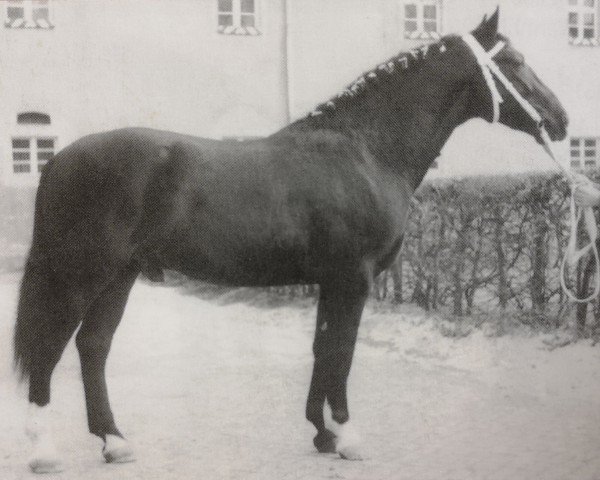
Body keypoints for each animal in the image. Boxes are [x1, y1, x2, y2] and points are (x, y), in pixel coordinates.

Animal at [12, 9, 568, 474]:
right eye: (514, 62)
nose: (561, 120)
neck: (365, 150)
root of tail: (58, 158)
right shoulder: (353, 279)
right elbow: (341, 352)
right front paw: (348, 437)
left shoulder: (331, 281)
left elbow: (322, 349)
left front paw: (322, 434)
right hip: (82, 275)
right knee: (48, 348)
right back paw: (44, 452)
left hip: (119, 276)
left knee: (93, 346)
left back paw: (115, 442)